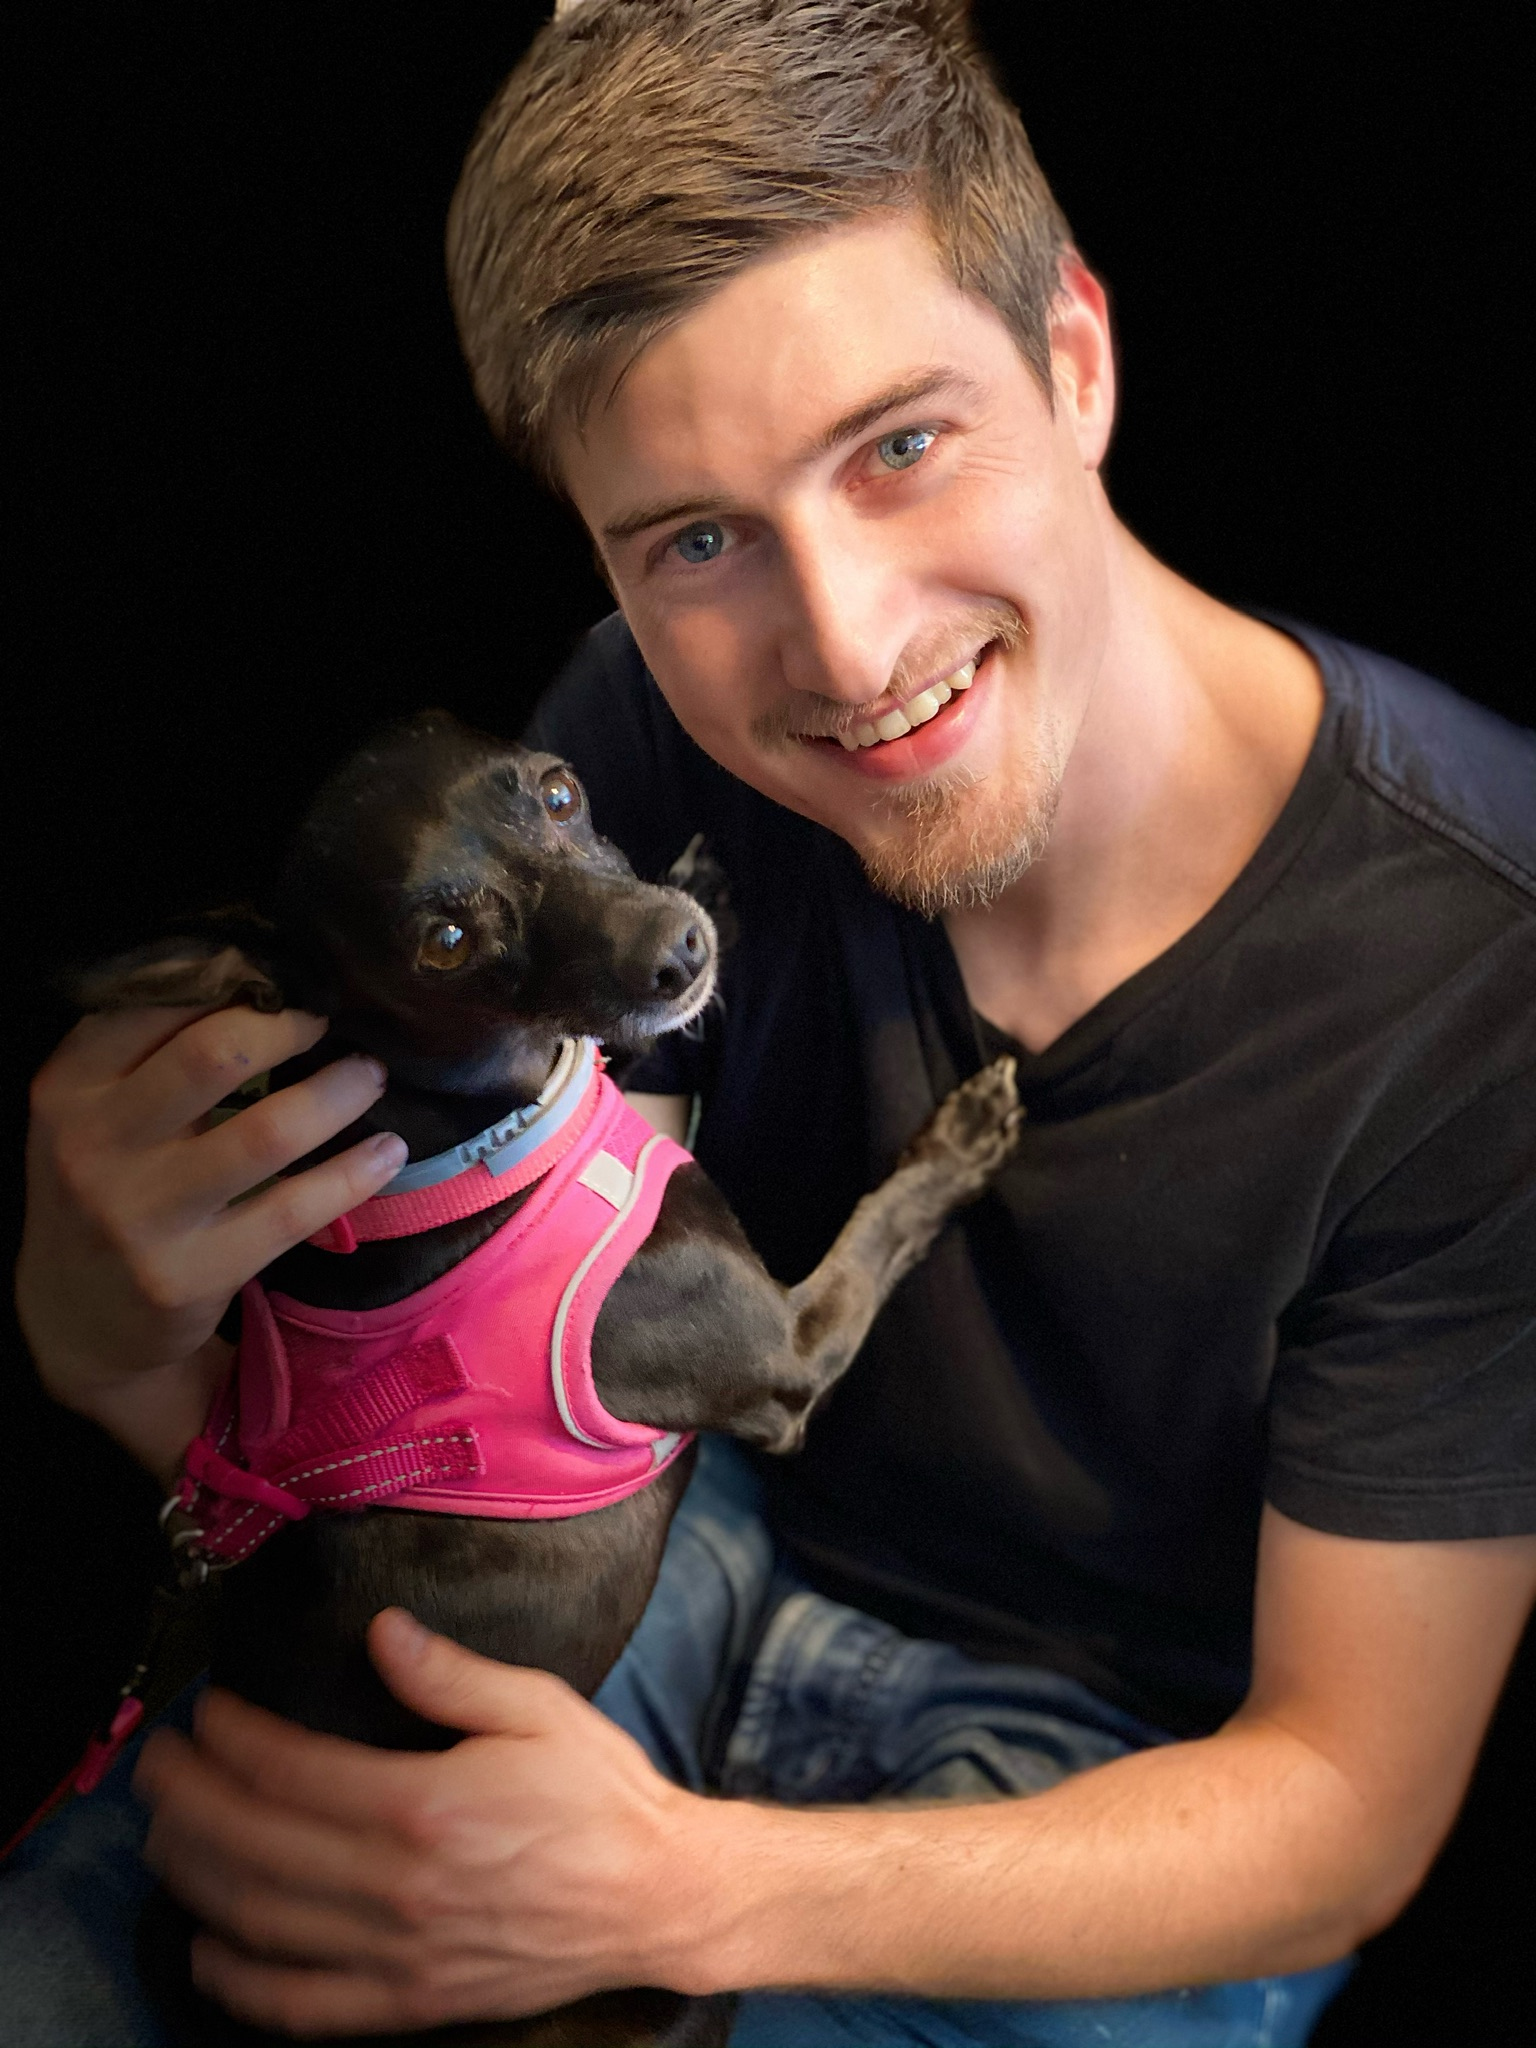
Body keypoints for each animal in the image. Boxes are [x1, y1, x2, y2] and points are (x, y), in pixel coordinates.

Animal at [75, 710, 1022, 2046]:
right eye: (448, 941)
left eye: (563, 793)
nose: (679, 946)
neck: (474, 1146)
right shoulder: (788, 1352)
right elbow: (878, 1223)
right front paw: (958, 1145)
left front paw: (709, 873)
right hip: (677, 1985)